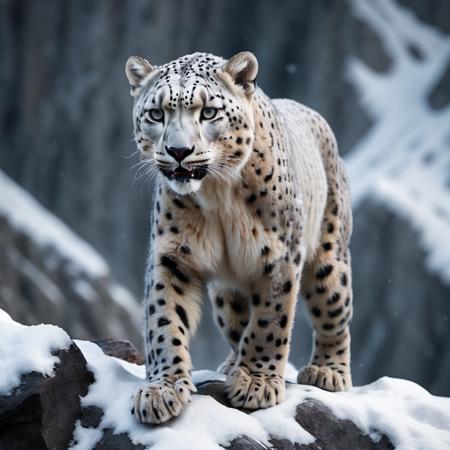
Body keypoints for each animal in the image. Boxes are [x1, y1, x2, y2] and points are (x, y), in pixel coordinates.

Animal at [125, 51, 354, 424]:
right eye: (156, 113)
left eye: (208, 112)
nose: (178, 150)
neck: (217, 195)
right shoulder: (171, 254)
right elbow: (164, 318)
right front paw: (162, 390)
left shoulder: (281, 256)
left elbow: (270, 320)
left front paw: (257, 382)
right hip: (225, 295)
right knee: (237, 323)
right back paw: (232, 363)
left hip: (330, 256)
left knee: (334, 312)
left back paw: (327, 371)